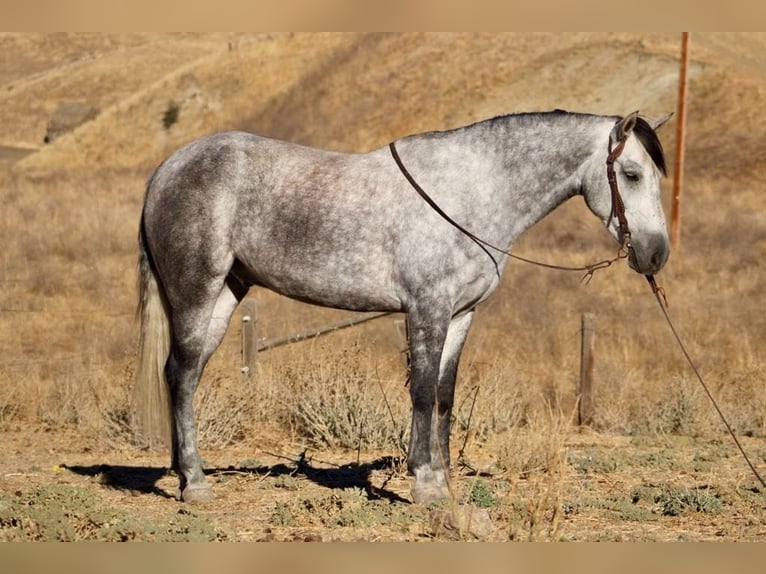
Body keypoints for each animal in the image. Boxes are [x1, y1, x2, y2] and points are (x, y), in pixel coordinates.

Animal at [138, 111, 672, 504]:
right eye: (630, 174)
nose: (655, 254)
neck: (470, 191)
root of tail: (166, 170)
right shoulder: (427, 308)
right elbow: (420, 392)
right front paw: (424, 484)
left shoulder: (461, 315)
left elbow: (444, 395)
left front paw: (444, 479)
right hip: (196, 292)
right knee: (181, 375)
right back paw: (195, 485)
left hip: (226, 294)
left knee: (183, 376)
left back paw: (184, 472)